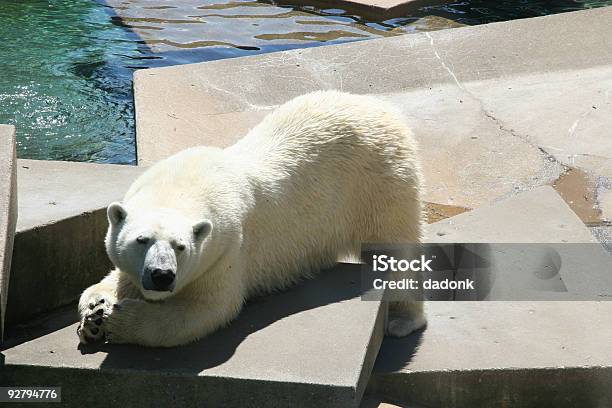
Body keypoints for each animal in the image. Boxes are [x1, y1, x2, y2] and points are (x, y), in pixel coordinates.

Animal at [77, 90, 426, 348]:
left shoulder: (227, 247)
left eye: (181, 246)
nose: (161, 275)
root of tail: (383, 108)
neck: (181, 184)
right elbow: (119, 278)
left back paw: (403, 320)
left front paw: (118, 320)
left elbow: (205, 310)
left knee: (395, 249)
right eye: (141, 240)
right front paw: (95, 310)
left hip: (379, 182)